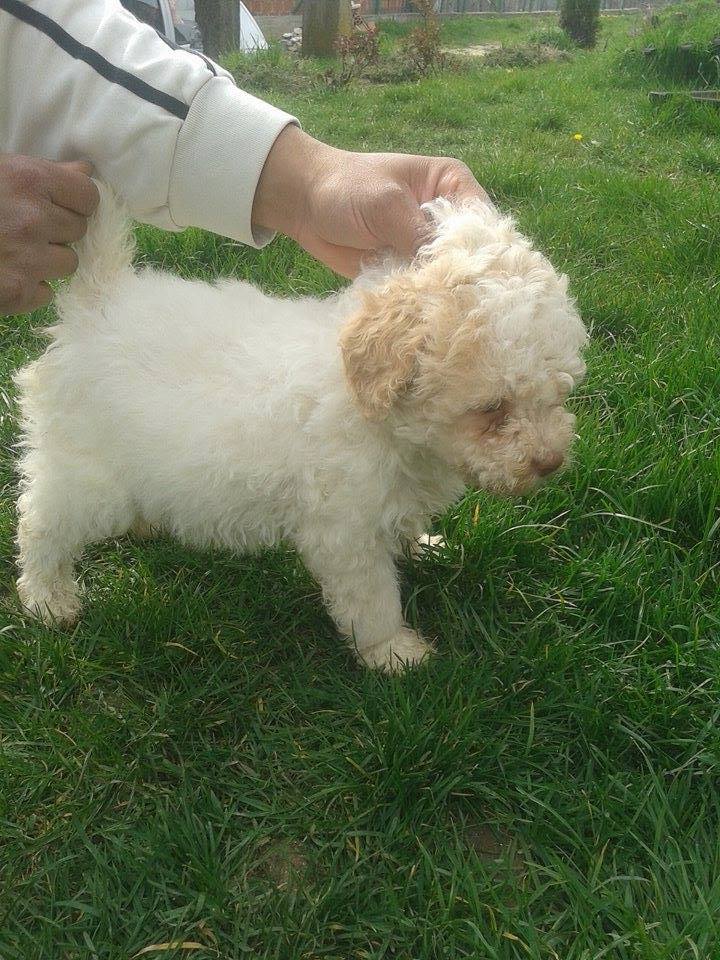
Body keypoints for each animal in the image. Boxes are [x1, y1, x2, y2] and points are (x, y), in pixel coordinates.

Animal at [14, 186, 588, 668]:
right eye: (492, 408)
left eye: (559, 394)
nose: (551, 463)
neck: (375, 413)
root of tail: (99, 301)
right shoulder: (344, 528)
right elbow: (372, 597)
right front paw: (394, 653)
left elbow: (401, 526)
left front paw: (419, 544)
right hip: (84, 472)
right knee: (40, 523)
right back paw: (47, 598)